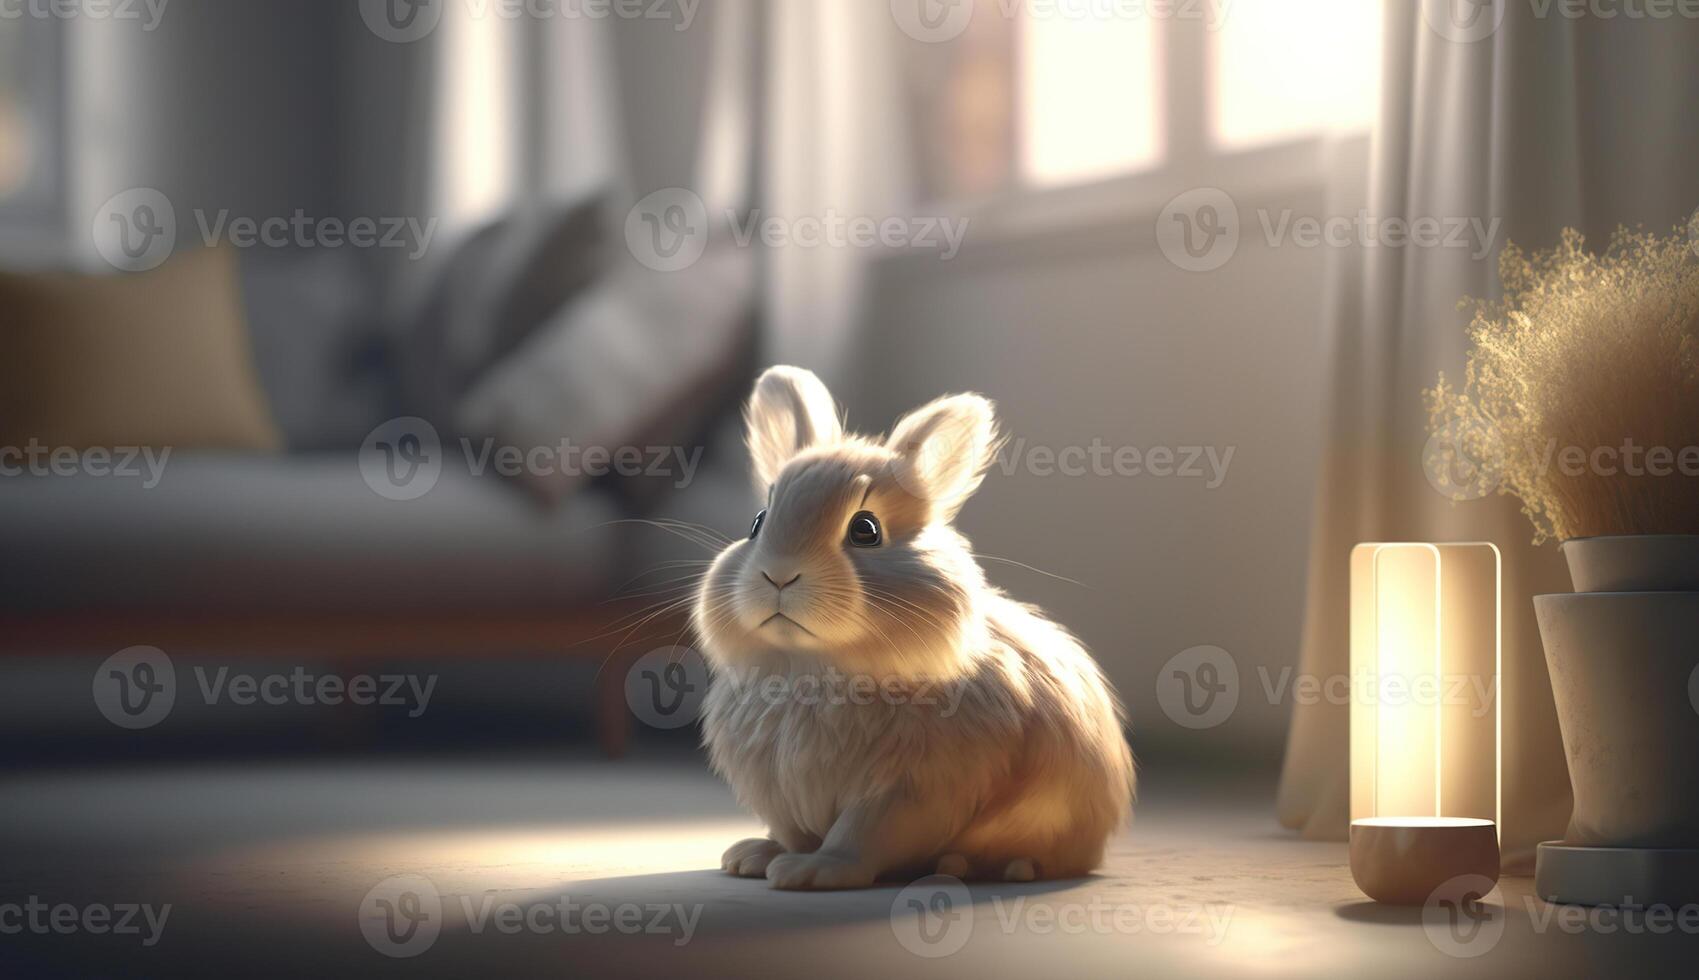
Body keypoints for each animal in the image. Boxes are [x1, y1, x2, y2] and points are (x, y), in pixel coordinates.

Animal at [689, 365, 1128, 883]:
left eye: (866, 530)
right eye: (757, 523)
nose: (778, 573)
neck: (811, 671)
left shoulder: (908, 791)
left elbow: (860, 836)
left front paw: (814, 872)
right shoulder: (782, 794)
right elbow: (793, 833)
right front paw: (756, 857)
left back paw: (985, 867)